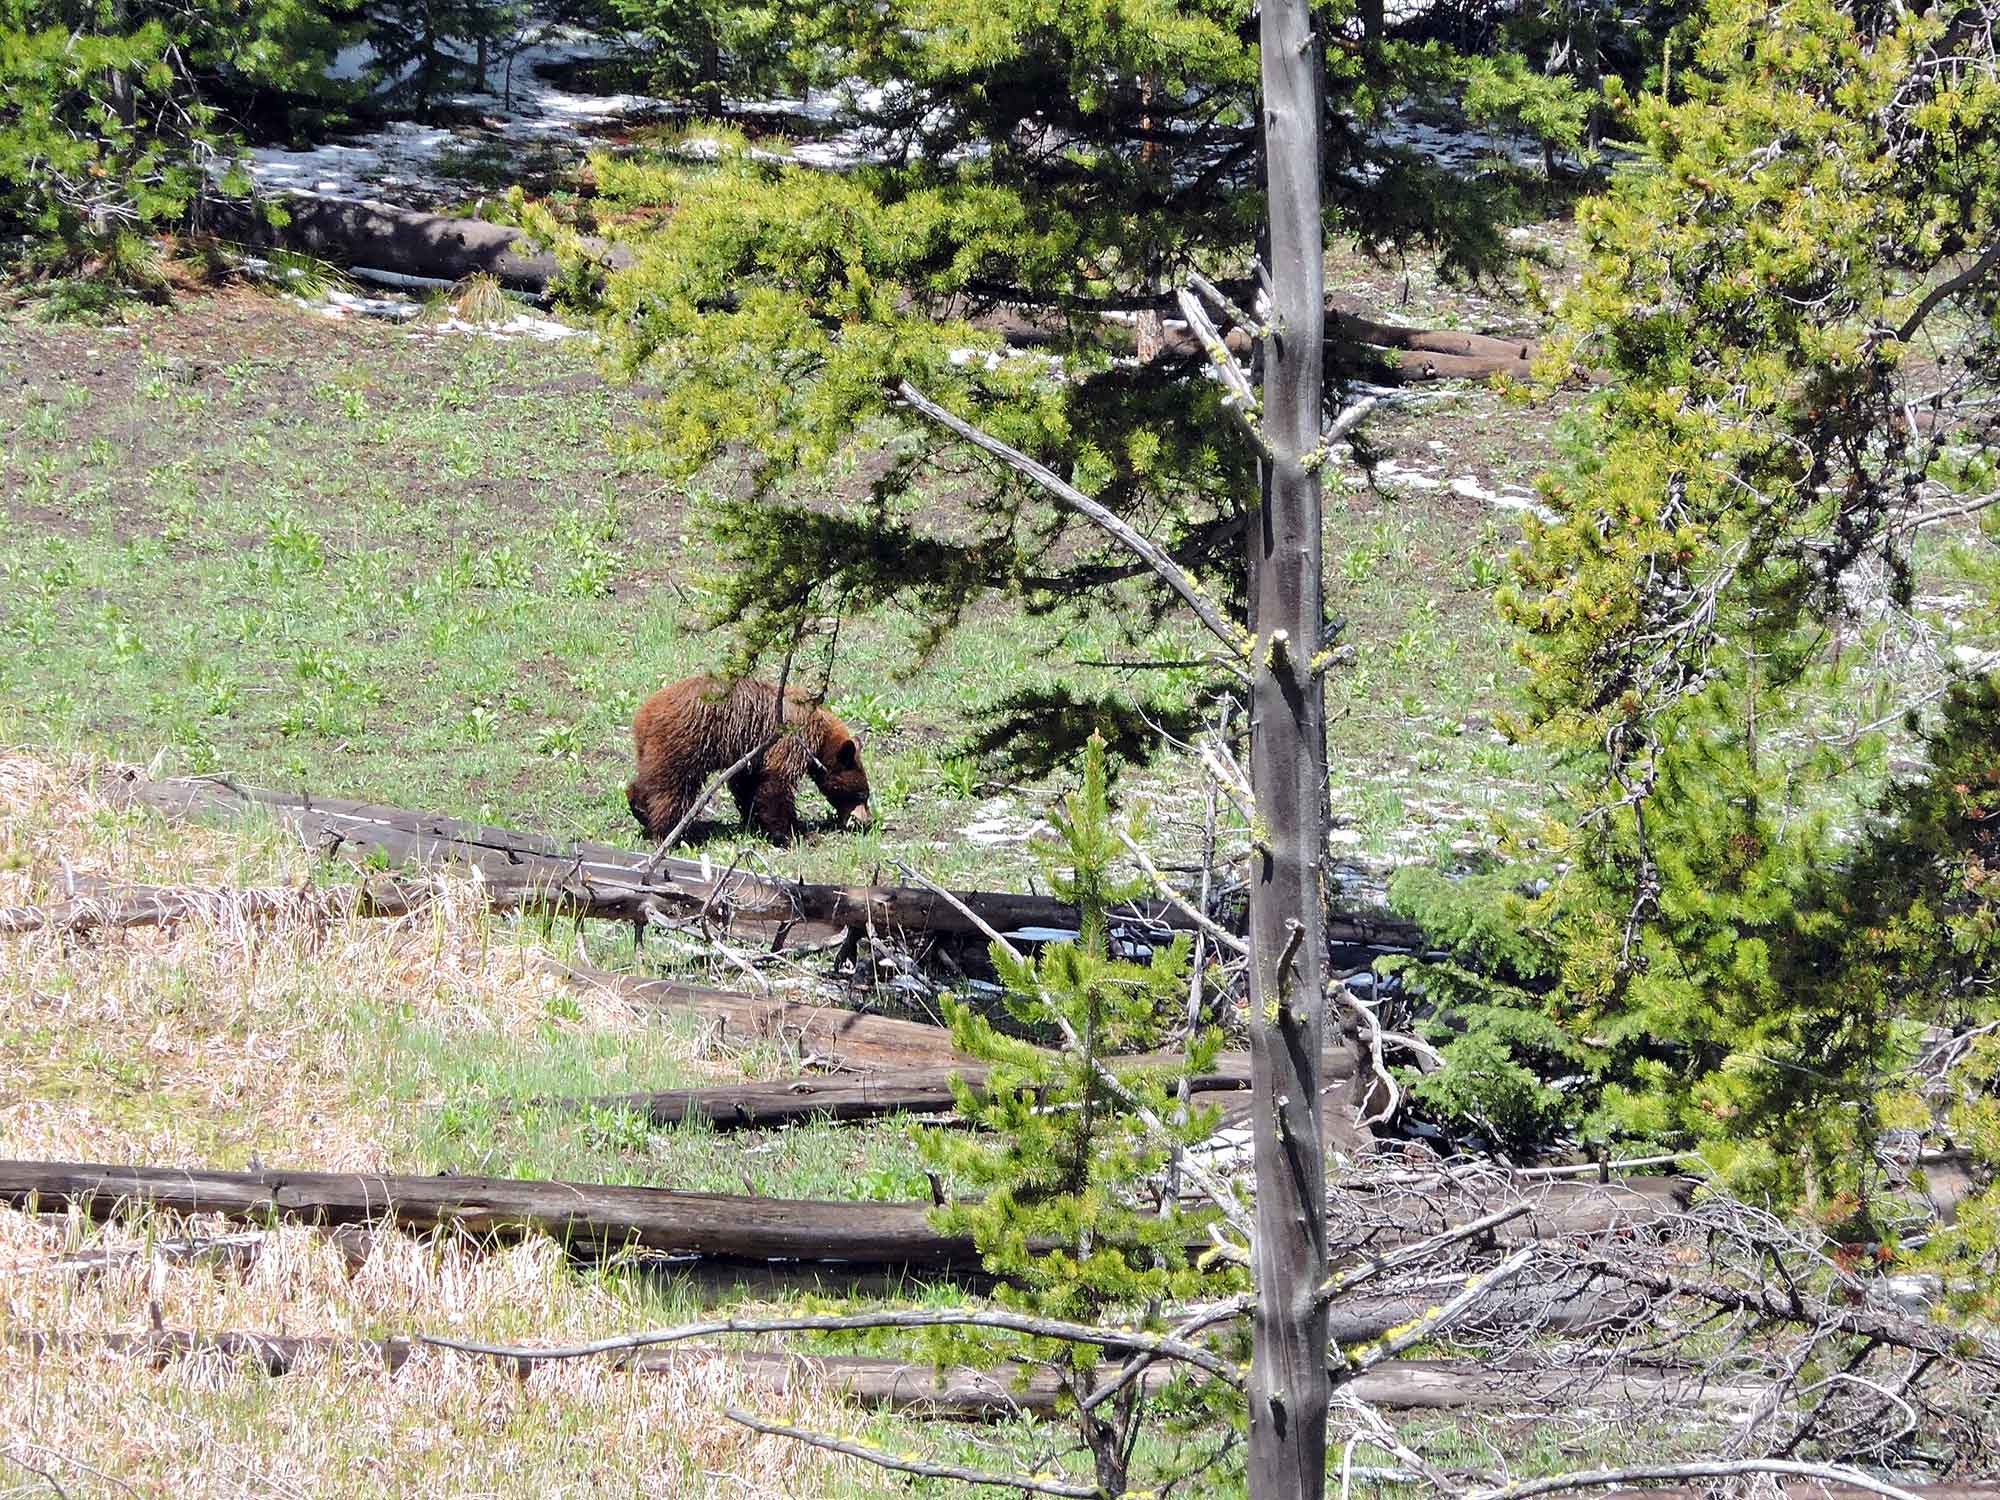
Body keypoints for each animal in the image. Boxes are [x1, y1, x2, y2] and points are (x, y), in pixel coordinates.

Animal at [626, 674, 873, 846]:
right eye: (862, 795)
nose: (867, 821)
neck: (822, 738)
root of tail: (645, 712)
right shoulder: (791, 739)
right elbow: (775, 782)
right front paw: (795, 834)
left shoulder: (751, 752)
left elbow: (748, 783)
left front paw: (755, 821)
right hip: (686, 741)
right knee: (673, 787)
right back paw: (668, 832)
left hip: (651, 747)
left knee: (650, 778)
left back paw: (640, 808)